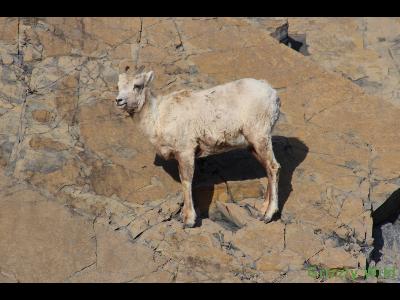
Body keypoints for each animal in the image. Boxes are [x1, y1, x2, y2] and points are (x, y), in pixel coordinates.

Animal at [115, 68, 282, 227]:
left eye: (137, 85)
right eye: (118, 86)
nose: (119, 100)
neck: (157, 118)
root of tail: (273, 94)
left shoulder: (185, 152)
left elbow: (186, 181)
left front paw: (189, 220)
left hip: (259, 137)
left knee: (273, 167)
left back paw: (268, 215)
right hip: (253, 145)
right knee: (268, 170)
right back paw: (262, 210)